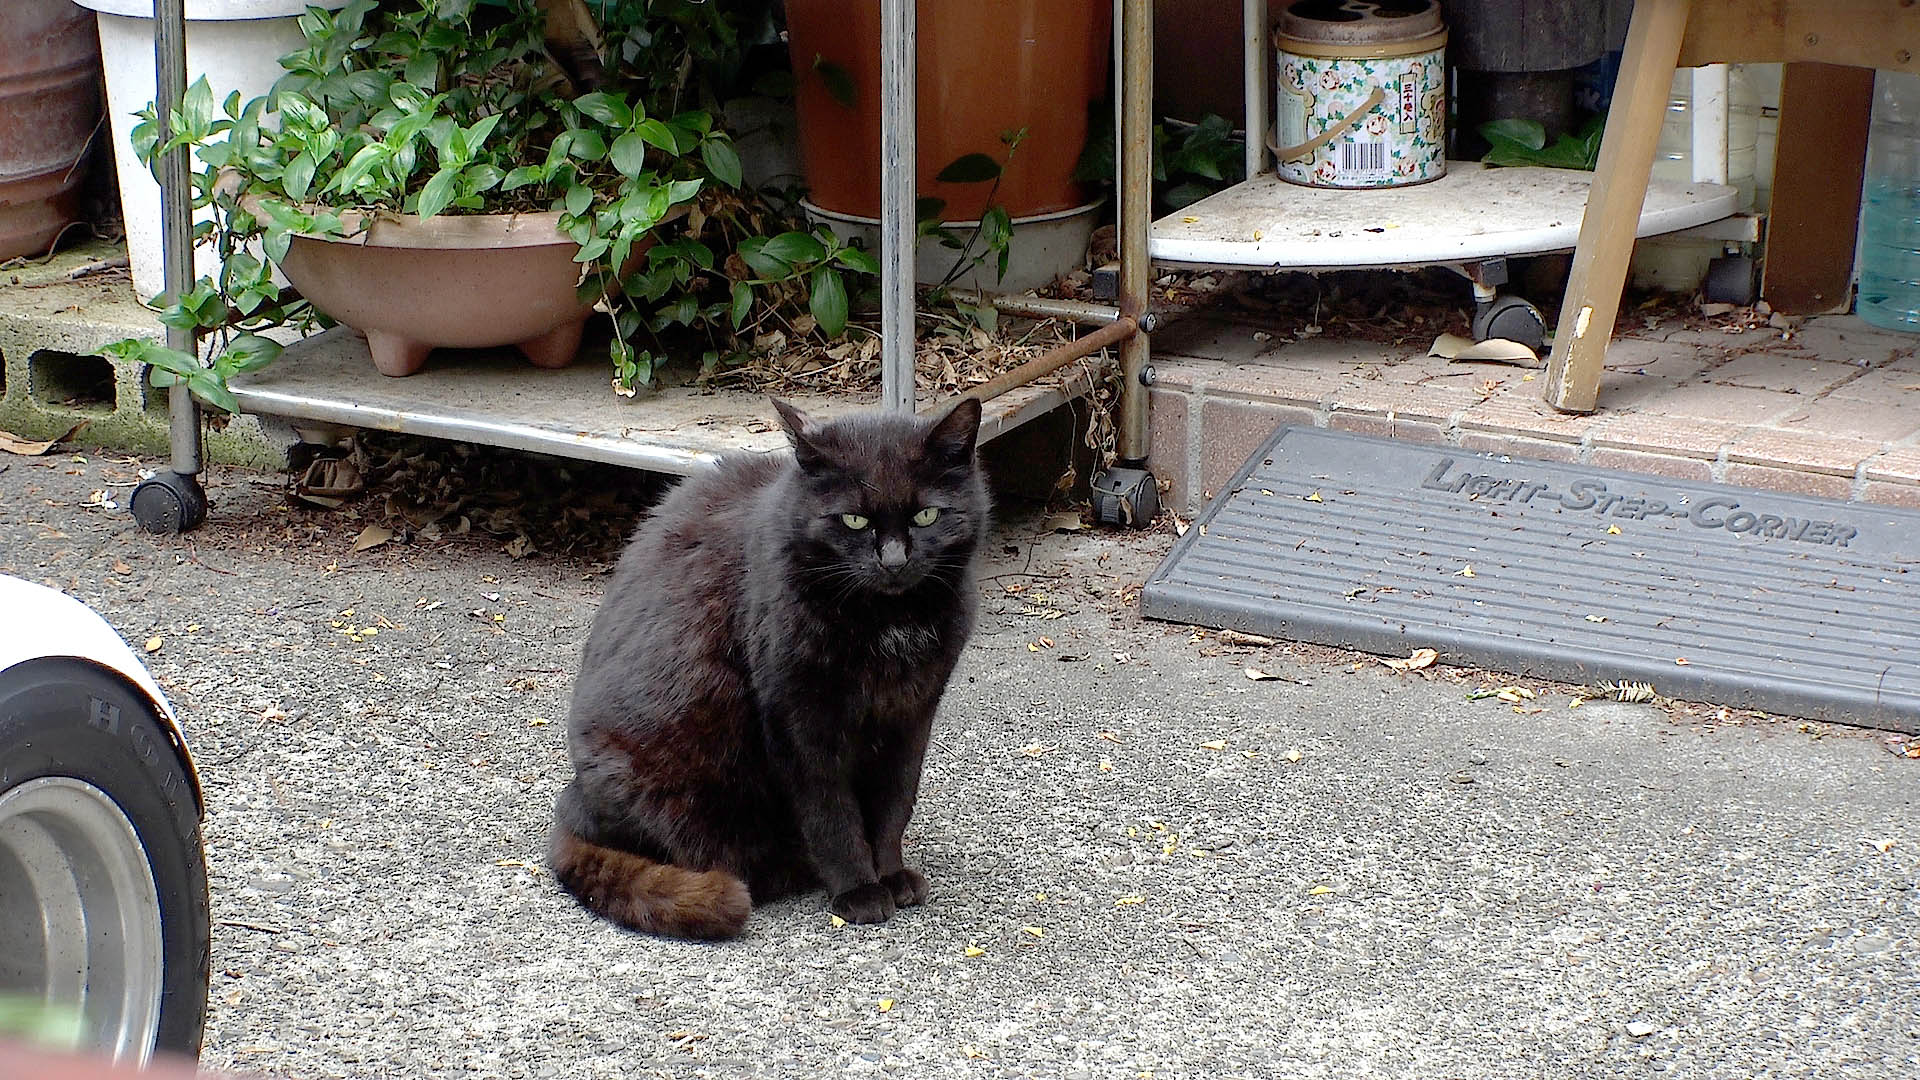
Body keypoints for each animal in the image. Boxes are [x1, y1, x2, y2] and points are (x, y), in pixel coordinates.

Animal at [545, 395, 983, 933]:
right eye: (853, 521)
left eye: (926, 515)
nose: (895, 561)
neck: (886, 622)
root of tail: (573, 803)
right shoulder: (799, 718)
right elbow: (829, 811)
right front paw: (858, 889)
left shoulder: (912, 713)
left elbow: (895, 802)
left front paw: (890, 874)